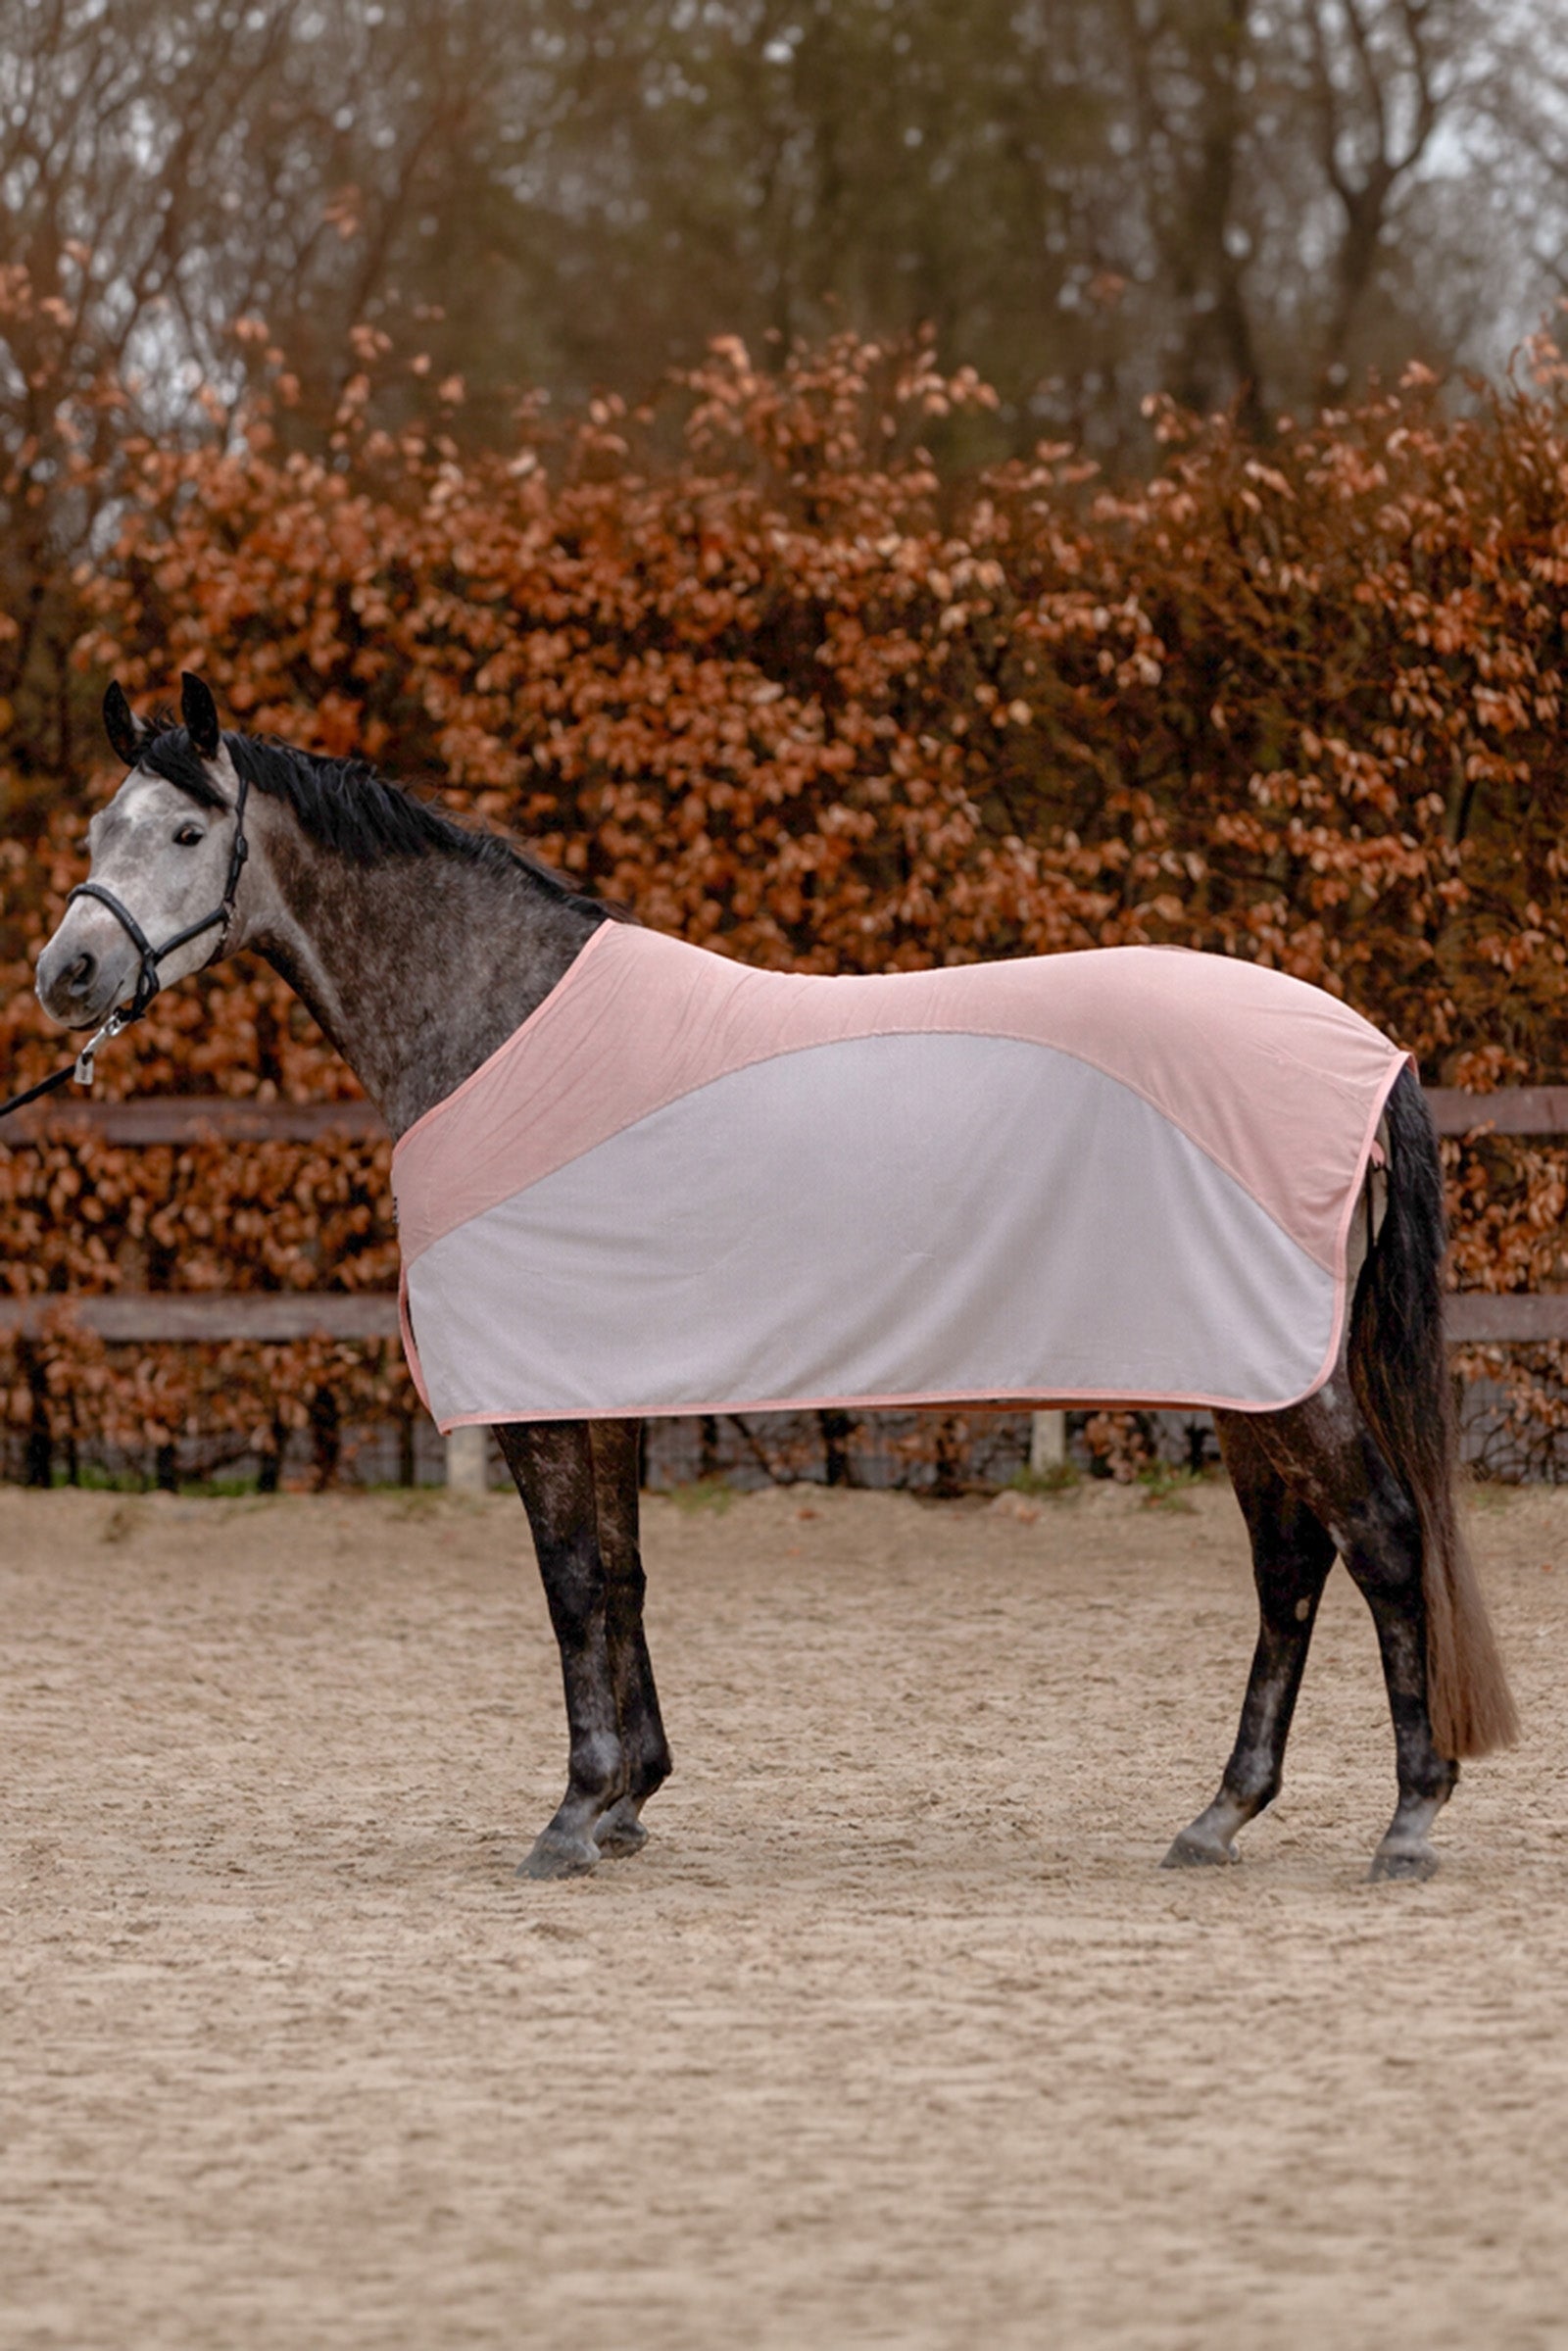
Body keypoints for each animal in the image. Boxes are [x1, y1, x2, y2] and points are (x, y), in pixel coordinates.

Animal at [33, 673, 1517, 1884]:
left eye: (184, 834)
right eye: (98, 829)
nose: (69, 970)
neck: (498, 1021)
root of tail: (1367, 1048)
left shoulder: (537, 1392)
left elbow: (569, 1579)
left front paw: (570, 1815)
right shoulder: (602, 1376)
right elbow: (621, 1572)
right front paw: (629, 1797)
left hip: (1285, 1373)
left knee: (1383, 1540)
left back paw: (1407, 1819)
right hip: (1242, 1366)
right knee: (1291, 1564)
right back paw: (1221, 1813)